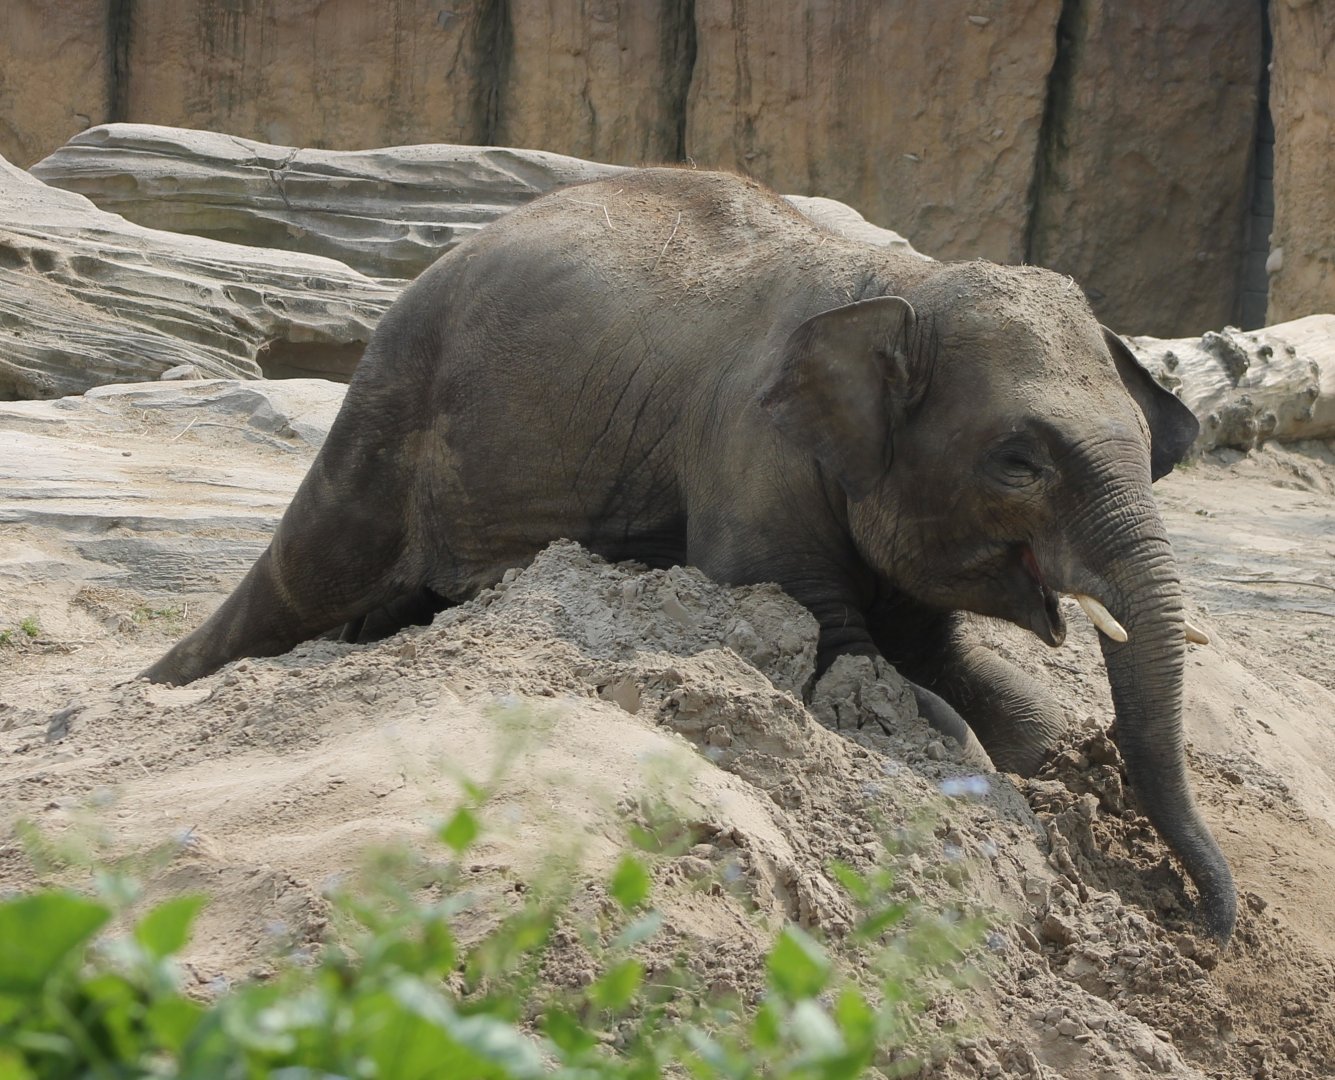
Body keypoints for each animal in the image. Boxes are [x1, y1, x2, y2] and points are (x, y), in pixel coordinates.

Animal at [142, 168, 1236, 942]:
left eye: (1147, 448)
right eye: (1020, 462)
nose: (1211, 926)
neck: (896, 287)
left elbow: (986, 688)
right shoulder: (749, 451)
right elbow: (830, 637)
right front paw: (939, 738)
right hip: (380, 429)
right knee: (299, 581)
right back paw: (152, 690)